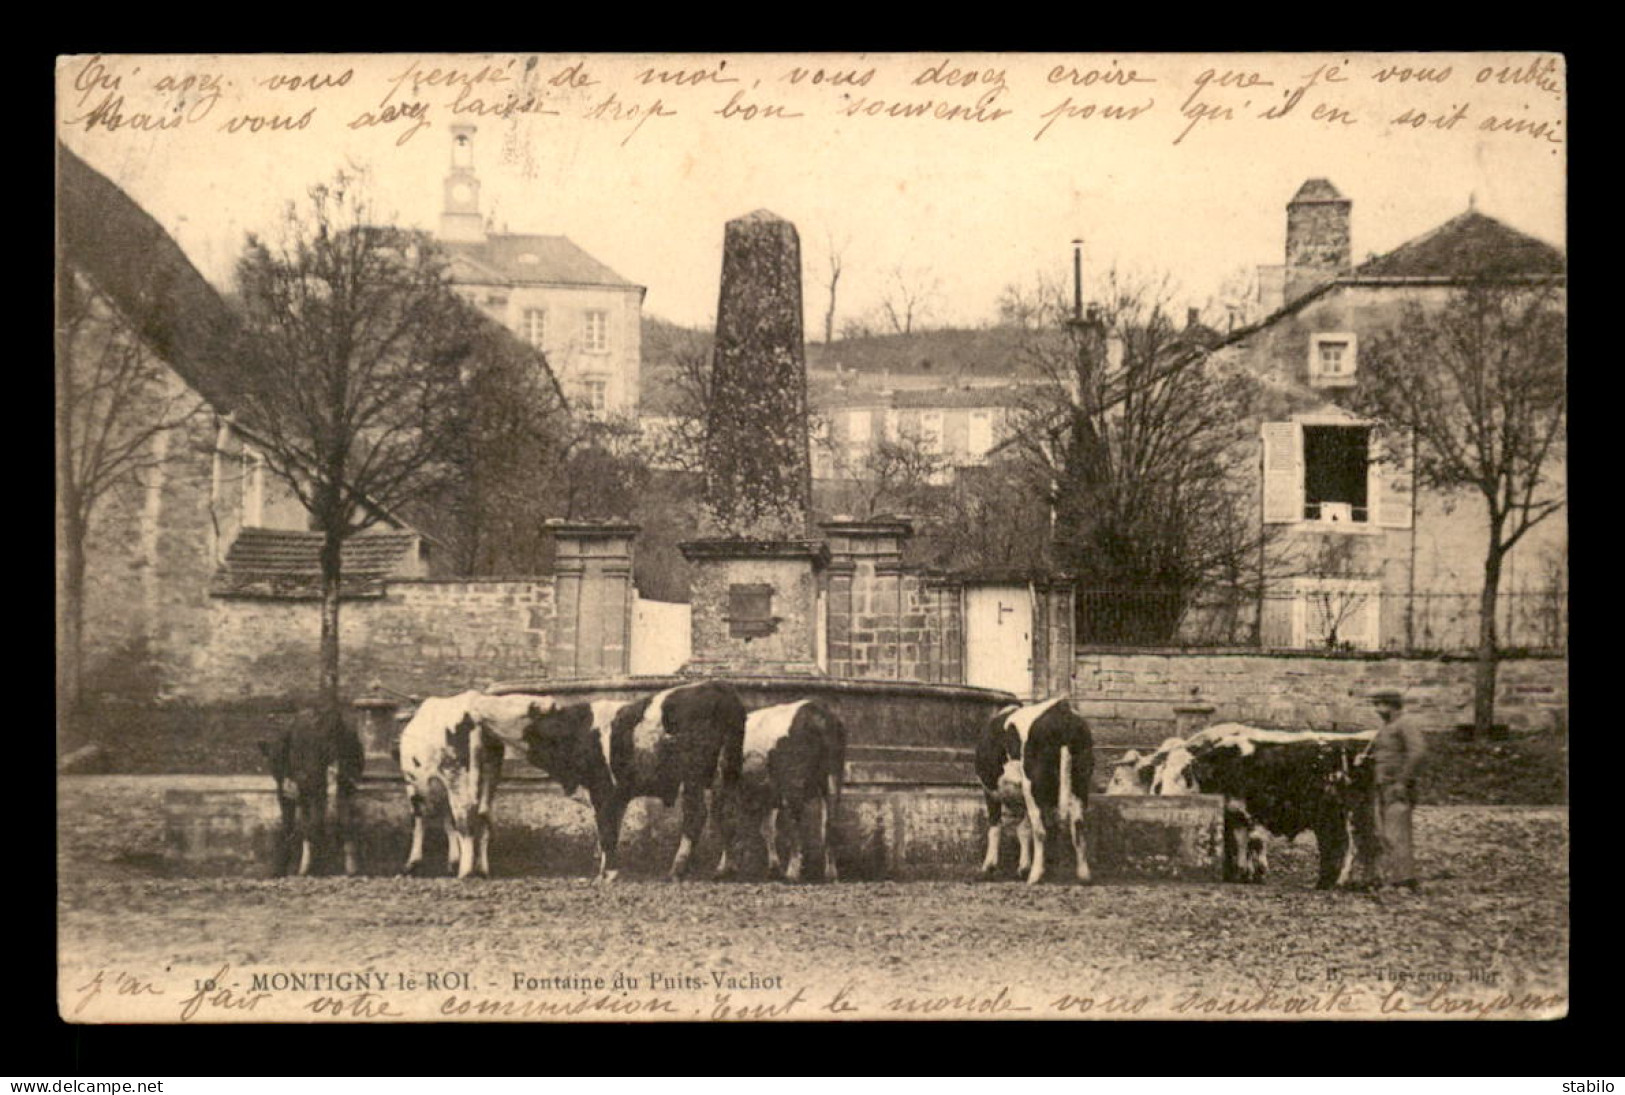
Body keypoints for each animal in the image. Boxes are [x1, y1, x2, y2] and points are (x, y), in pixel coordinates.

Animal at [260, 708, 365, 877]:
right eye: (273, 760)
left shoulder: (305, 790)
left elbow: (303, 825)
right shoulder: (293, 794)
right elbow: (297, 825)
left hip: (328, 785)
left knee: (326, 820)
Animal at [396, 692, 555, 877]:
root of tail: (473, 715)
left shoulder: (413, 786)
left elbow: (419, 821)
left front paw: (412, 863)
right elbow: (448, 822)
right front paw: (452, 861)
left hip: (455, 776)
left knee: (465, 820)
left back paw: (465, 872)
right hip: (489, 777)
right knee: (482, 817)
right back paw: (482, 869)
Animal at [520, 679, 747, 883]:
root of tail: (718, 687)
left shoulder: (602, 788)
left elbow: (606, 829)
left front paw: (606, 876)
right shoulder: (619, 795)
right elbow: (612, 828)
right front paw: (607, 871)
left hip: (693, 774)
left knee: (697, 814)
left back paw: (677, 870)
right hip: (727, 771)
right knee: (727, 813)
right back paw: (725, 869)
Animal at [1131, 721, 1384, 883]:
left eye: (1184, 773)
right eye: (1158, 778)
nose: (1164, 797)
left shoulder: (1250, 814)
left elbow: (1252, 843)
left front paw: (1254, 873)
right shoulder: (1234, 815)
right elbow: (1238, 844)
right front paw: (1239, 874)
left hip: (1348, 815)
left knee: (1353, 847)